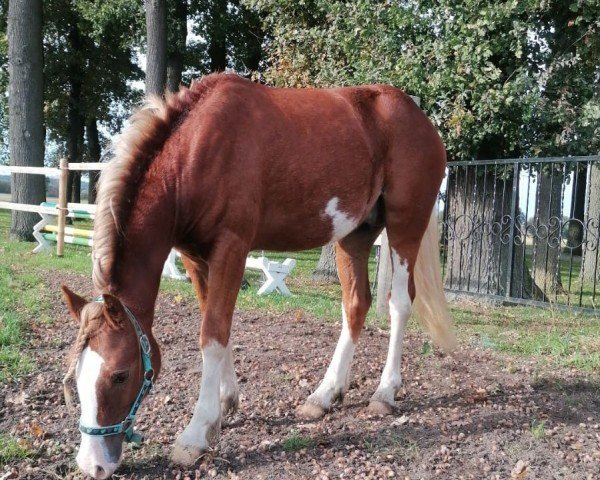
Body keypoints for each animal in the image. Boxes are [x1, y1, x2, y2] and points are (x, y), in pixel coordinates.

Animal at [62, 73, 454, 478]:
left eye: (121, 374)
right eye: (75, 378)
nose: (93, 465)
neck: (194, 153)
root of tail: (418, 116)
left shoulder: (231, 248)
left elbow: (213, 334)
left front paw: (196, 434)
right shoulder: (194, 257)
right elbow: (215, 326)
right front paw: (224, 404)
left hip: (405, 224)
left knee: (400, 304)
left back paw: (385, 392)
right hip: (355, 235)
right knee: (355, 305)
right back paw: (325, 394)